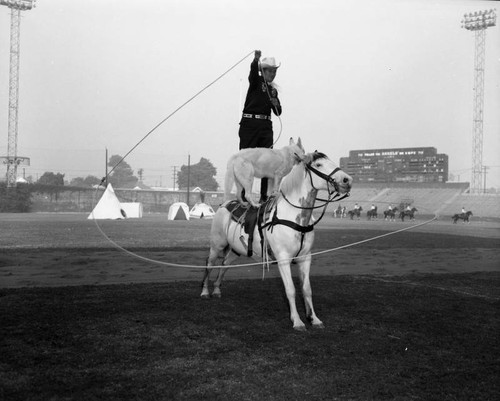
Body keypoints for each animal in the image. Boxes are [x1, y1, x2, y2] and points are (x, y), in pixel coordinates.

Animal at [201, 152, 354, 330]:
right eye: (318, 165)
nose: (347, 180)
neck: (295, 217)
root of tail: (225, 204)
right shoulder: (283, 259)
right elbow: (290, 290)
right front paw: (297, 321)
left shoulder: (305, 258)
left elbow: (307, 289)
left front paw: (314, 318)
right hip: (217, 245)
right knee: (210, 264)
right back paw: (205, 292)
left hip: (236, 250)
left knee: (225, 264)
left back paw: (217, 290)